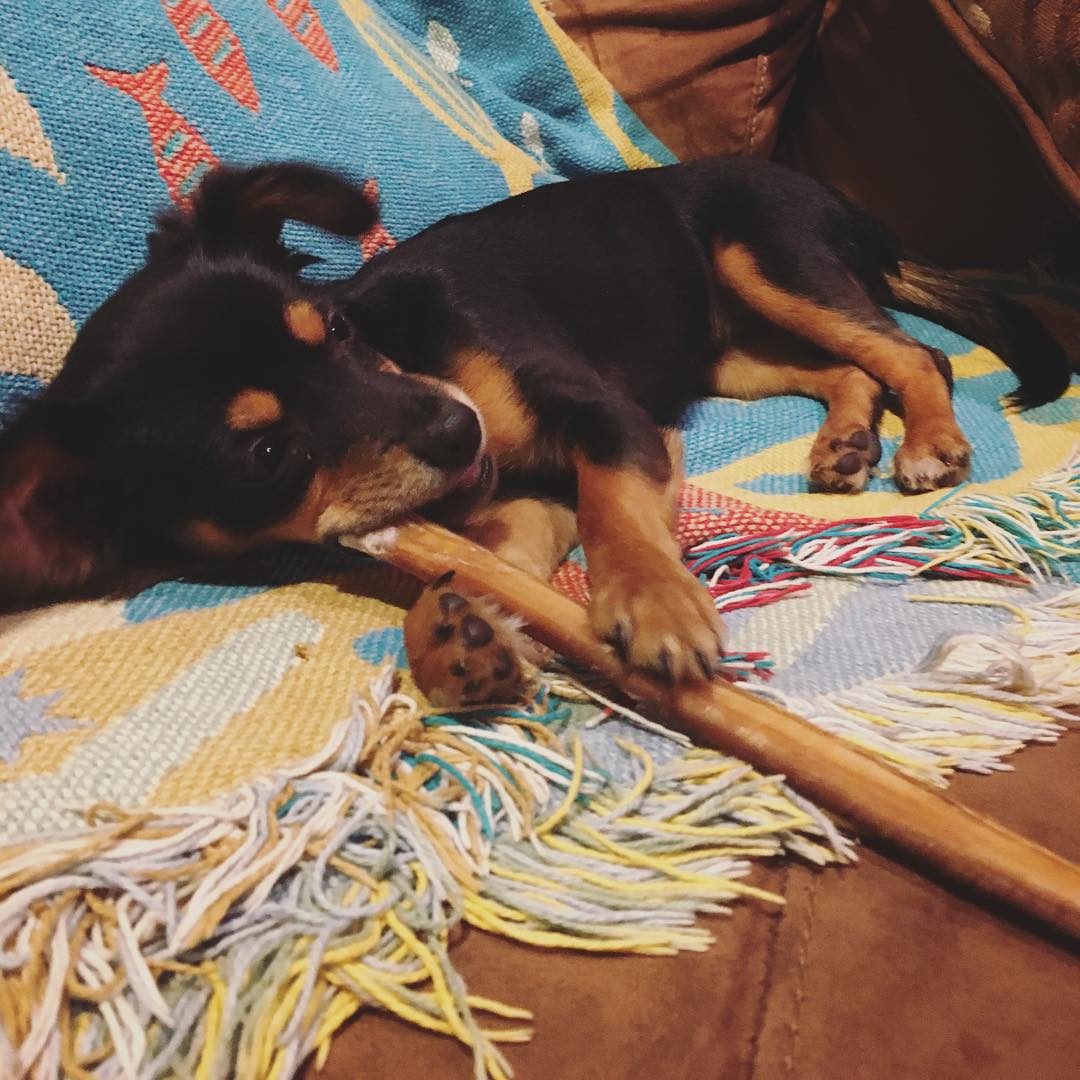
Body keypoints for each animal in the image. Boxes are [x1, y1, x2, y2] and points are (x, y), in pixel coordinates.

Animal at [0, 156, 1067, 704]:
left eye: (336, 329)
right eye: (265, 455)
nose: (455, 430)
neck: (411, 352)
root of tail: (832, 193)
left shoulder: (610, 419)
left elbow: (616, 510)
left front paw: (656, 604)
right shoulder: (531, 493)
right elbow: (499, 567)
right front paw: (455, 637)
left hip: (772, 257)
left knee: (913, 354)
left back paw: (929, 441)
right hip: (728, 349)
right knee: (849, 369)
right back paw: (846, 441)